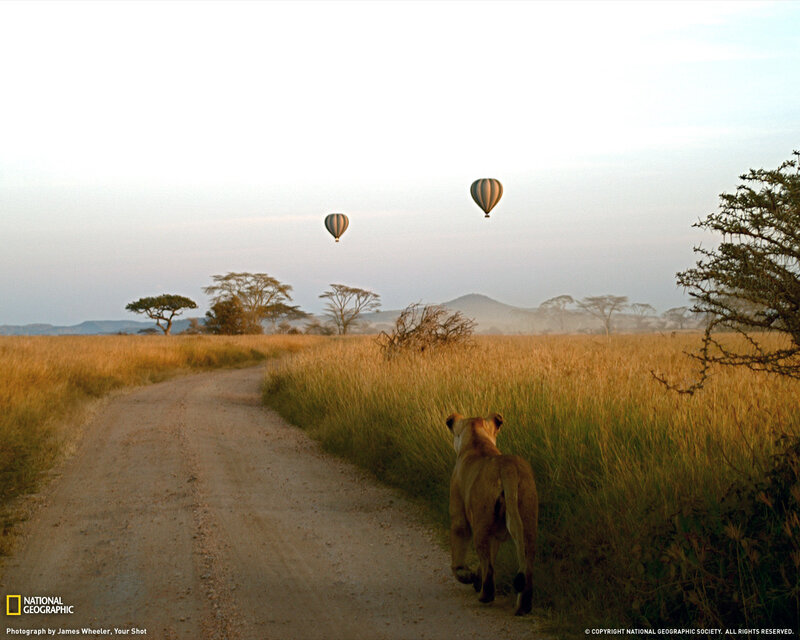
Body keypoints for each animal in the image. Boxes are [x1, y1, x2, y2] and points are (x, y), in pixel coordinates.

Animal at [446, 413, 538, 615]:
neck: (477, 441)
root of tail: (508, 468)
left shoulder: (459, 514)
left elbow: (459, 550)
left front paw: (466, 575)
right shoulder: (496, 532)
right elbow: (492, 554)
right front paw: (474, 578)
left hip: (481, 522)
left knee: (488, 569)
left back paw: (484, 595)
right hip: (527, 520)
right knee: (527, 566)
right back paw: (523, 606)